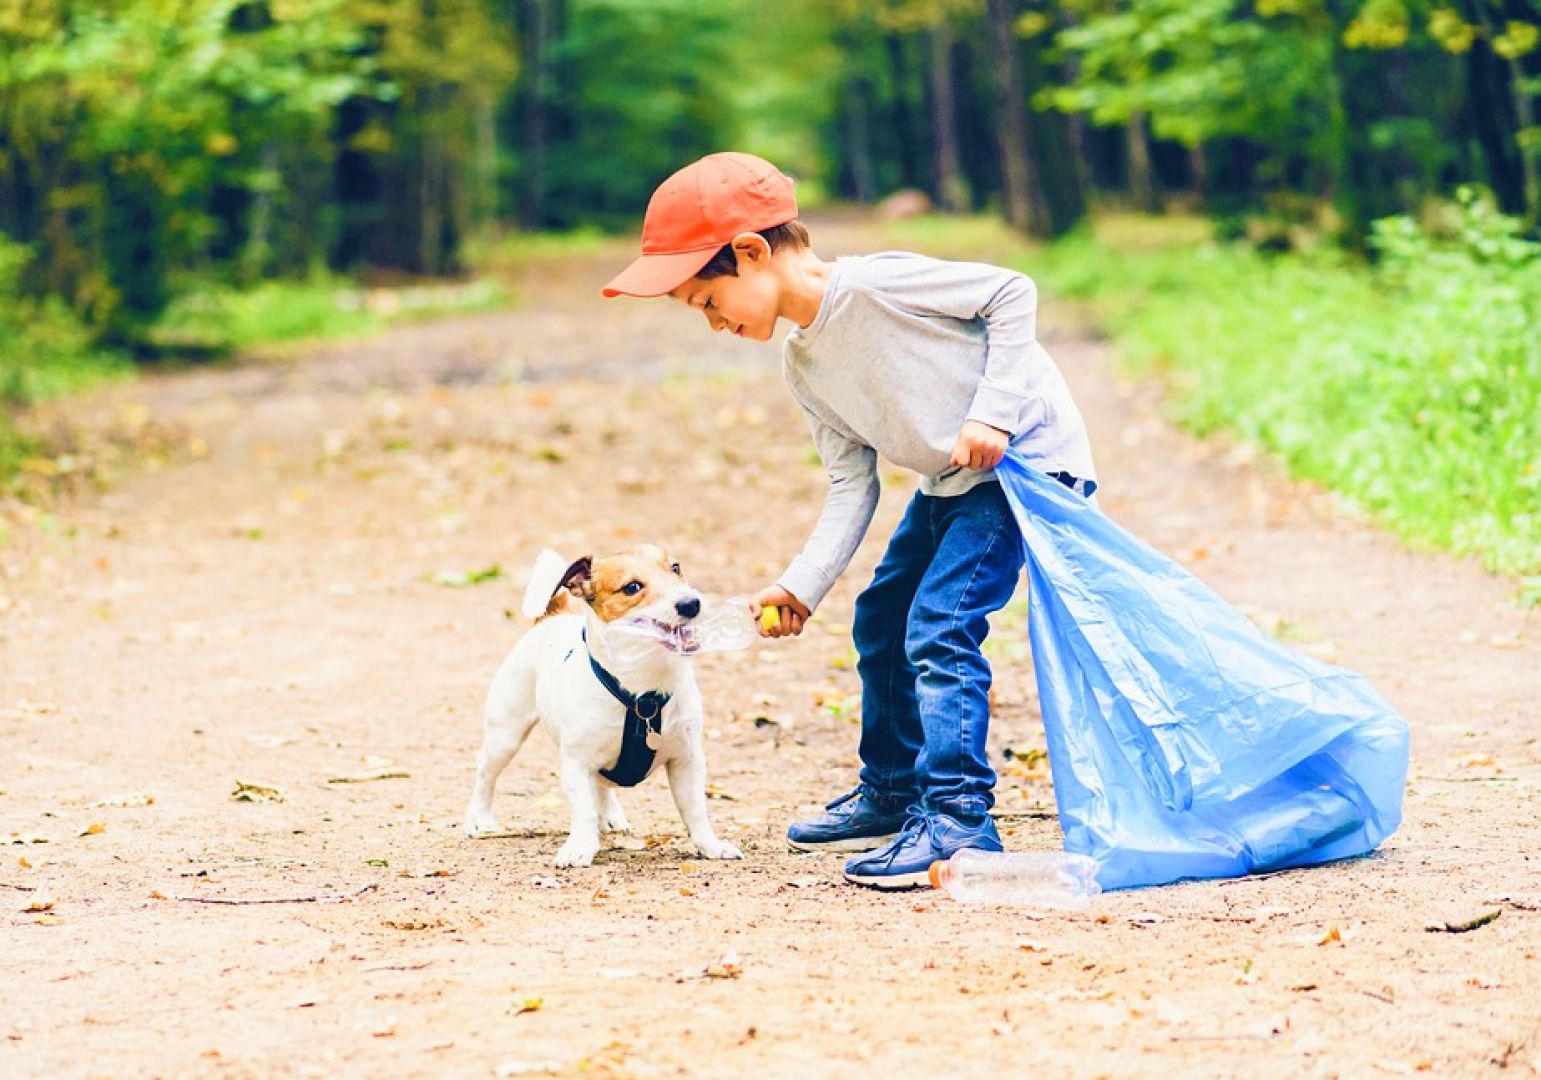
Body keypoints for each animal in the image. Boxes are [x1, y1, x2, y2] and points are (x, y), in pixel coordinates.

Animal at [462, 539, 739, 868]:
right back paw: (479, 819)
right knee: (485, 772)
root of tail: (552, 617)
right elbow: (583, 810)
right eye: (632, 587)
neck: (644, 694)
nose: (691, 603)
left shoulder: (687, 760)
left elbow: (695, 810)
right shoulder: (577, 763)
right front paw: (580, 846)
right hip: (505, 735)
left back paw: (611, 817)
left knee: (603, 786)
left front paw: (710, 845)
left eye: (675, 567)